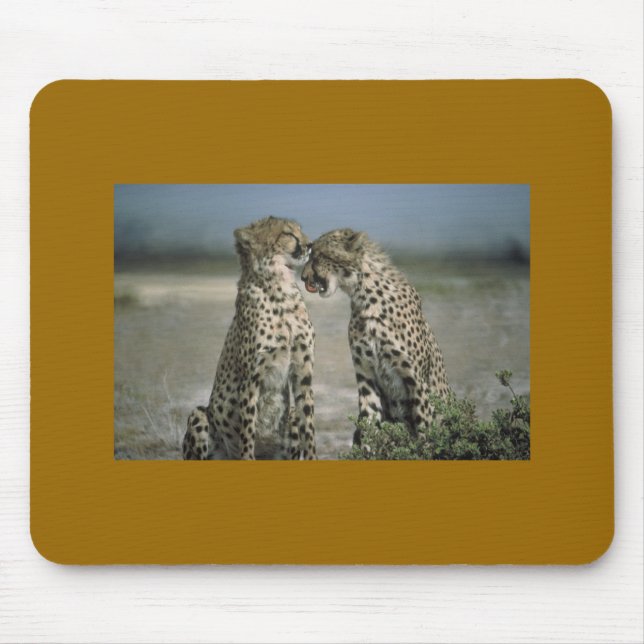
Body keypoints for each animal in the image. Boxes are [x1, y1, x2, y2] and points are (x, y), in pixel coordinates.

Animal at [182, 216, 316, 460]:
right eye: (288, 233)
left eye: (299, 230)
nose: (310, 245)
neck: (279, 288)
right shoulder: (251, 377)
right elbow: (248, 430)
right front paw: (248, 454)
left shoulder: (303, 371)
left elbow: (309, 425)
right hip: (200, 415)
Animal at [301, 228, 450, 443]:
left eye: (319, 255)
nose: (303, 278)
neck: (365, 297)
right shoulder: (366, 376)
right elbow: (368, 423)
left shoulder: (417, 383)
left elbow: (425, 429)